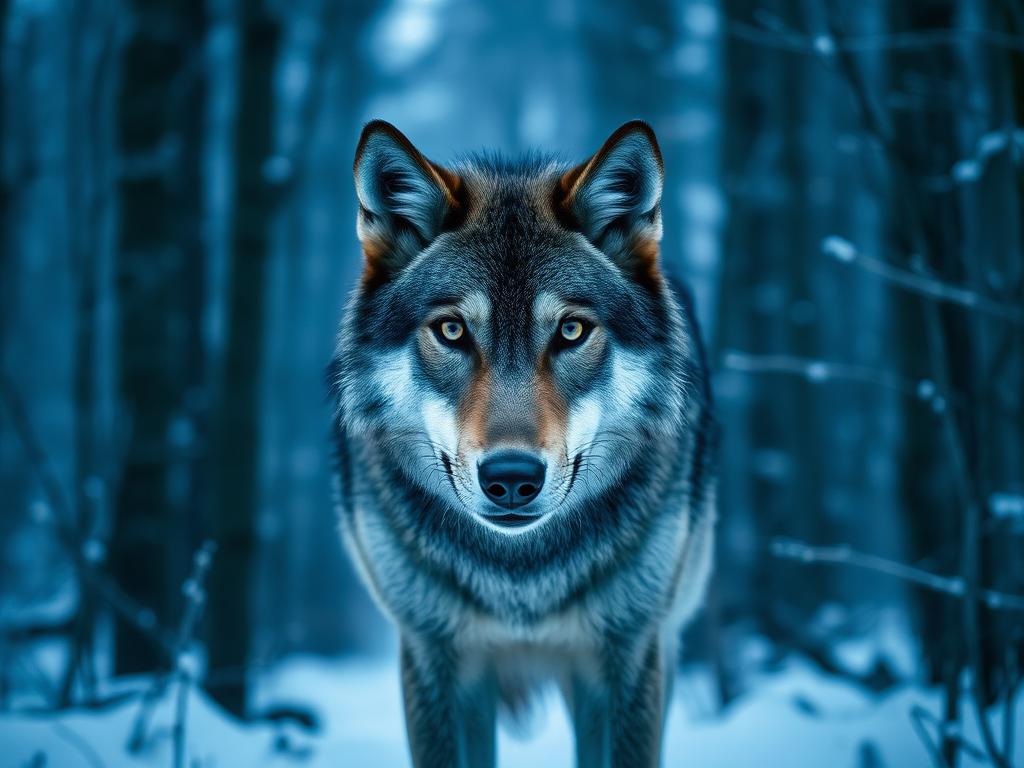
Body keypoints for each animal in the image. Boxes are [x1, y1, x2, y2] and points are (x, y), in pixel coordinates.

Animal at [328, 119, 716, 768]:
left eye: (572, 330)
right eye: (452, 330)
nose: (511, 476)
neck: (520, 582)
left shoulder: (628, 656)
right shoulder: (434, 658)